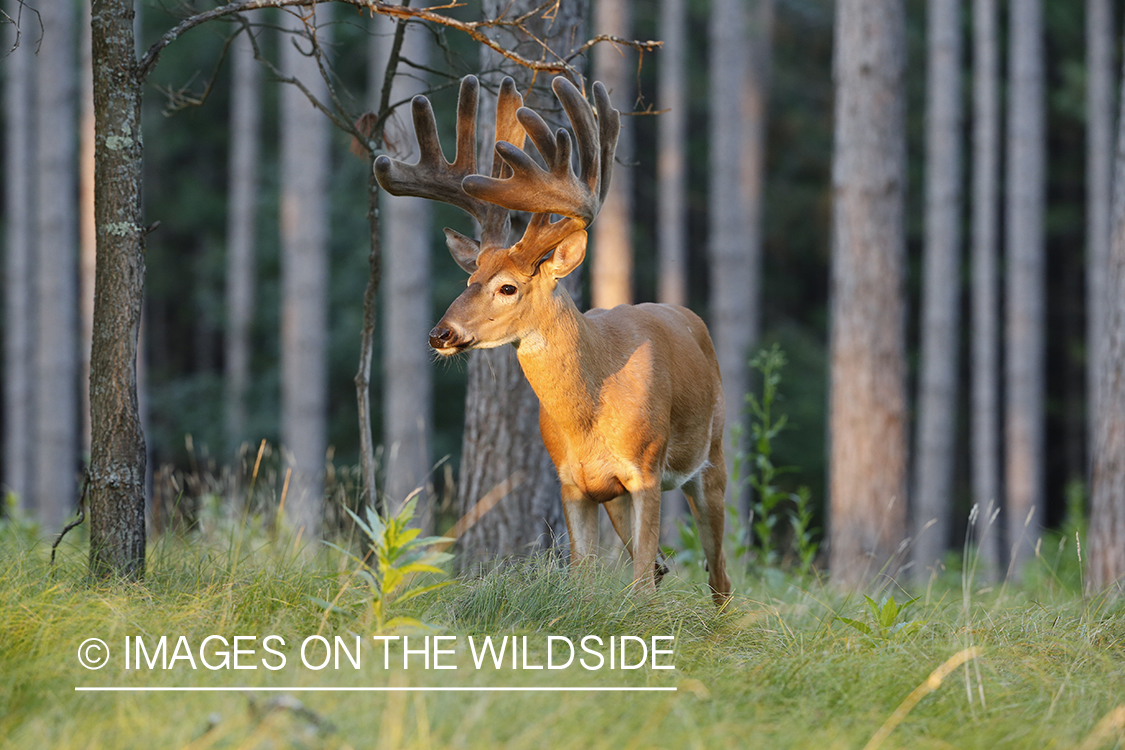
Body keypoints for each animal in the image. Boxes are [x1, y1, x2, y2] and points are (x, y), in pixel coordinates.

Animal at [373, 76, 733, 602]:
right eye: (469, 280)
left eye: (507, 287)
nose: (441, 334)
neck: (591, 410)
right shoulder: (573, 482)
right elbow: (584, 573)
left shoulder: (645, 470)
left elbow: (641, 583)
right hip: (617, 496)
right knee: (663, 565)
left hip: (712, 457)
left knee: (718, 572)